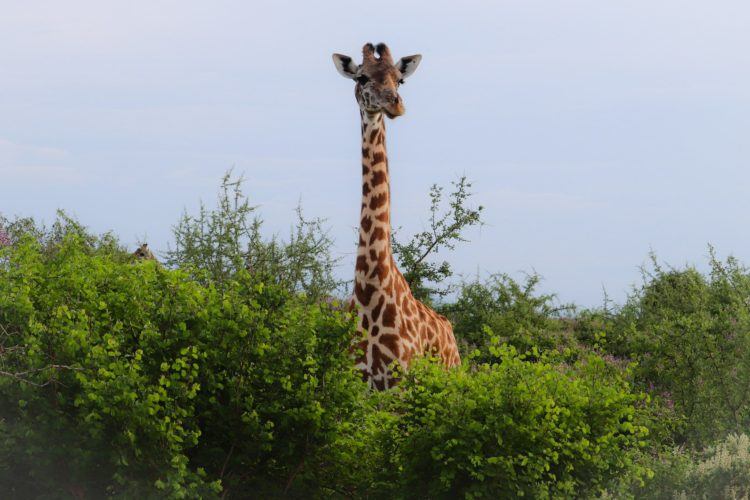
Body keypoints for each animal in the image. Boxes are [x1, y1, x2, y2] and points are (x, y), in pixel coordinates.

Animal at [334, 42, 464, 390]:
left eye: (399, 80)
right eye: (362, 77)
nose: (395, 104)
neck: (370, 289)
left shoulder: (400, 386)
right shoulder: (356, 386)